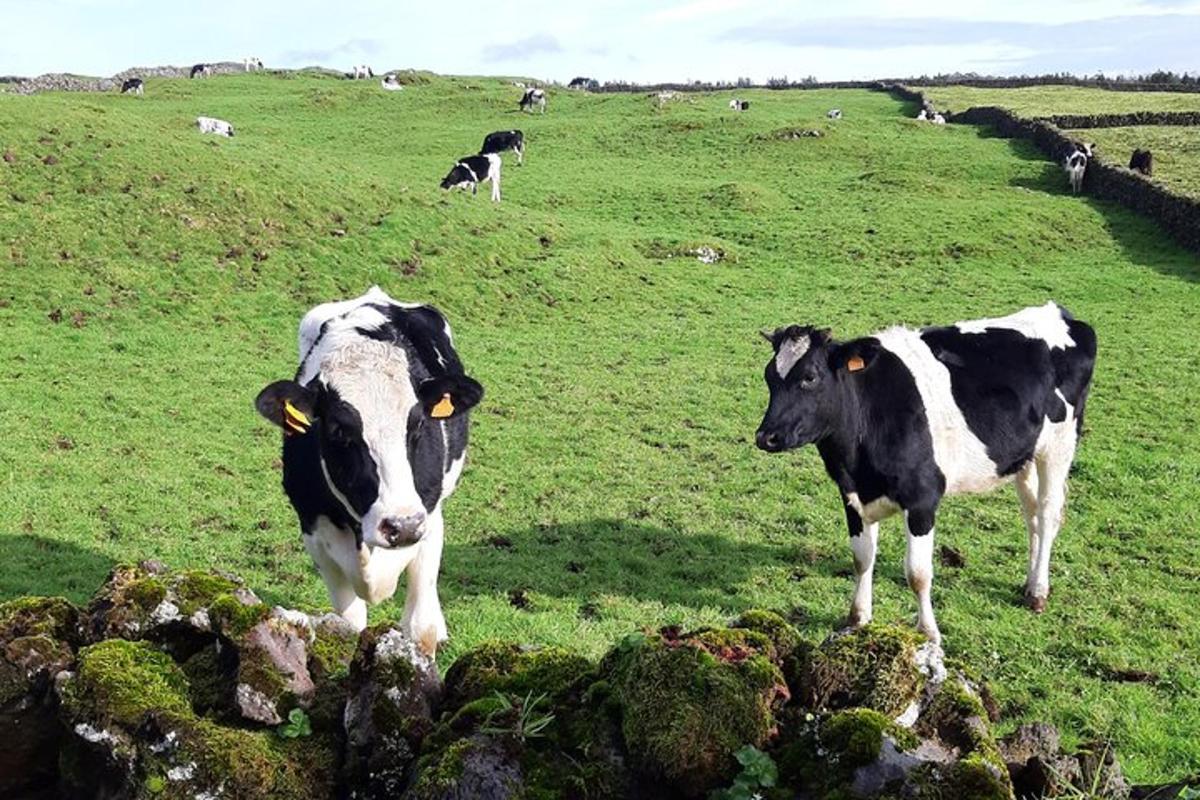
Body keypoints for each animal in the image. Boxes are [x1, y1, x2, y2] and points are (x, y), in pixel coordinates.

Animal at [255, 287, 484, 657]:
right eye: (338, 430)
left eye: (418, 425)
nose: (402, 526)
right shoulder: (314, 532)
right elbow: (348, 626)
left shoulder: (428, 517)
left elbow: (421, 627)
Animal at [758, 303, 1099, 647]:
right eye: (769, 376)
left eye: (809, 377)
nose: (766, 437)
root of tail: (1057, 311)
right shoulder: (851, 495)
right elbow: (862, 558)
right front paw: (857, 619)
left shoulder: (922, 498)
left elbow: (918, 574)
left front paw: (929, 632)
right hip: (1025, 456)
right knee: (1031, 516)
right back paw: (1030, 583)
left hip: (1059, 447)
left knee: (1047, 513)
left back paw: (1039, 590)